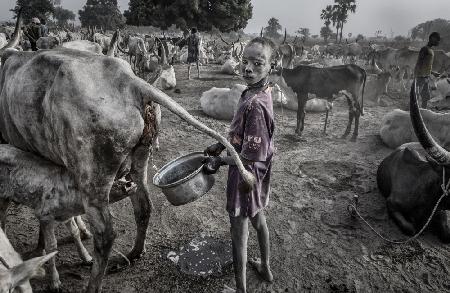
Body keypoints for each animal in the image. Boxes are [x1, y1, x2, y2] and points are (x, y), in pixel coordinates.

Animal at [0, 18, 253, 292]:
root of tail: (129, 82)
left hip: (94, 179)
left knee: (106, 235)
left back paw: (94, 282)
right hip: (140, 158)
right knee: (144, 206)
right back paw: (134, 253)